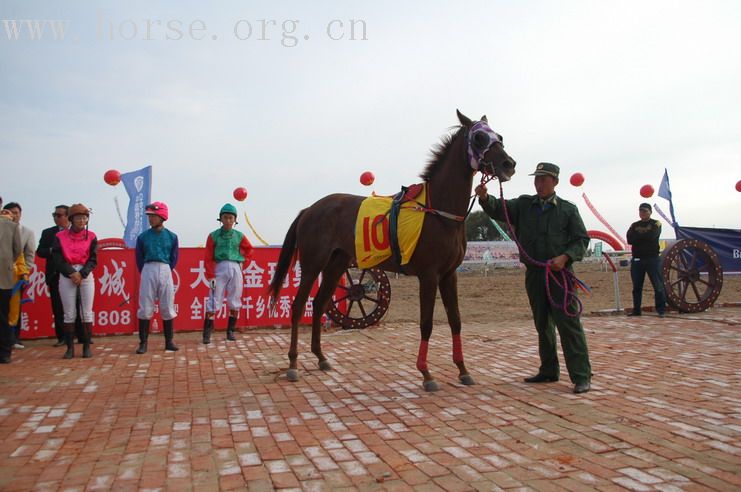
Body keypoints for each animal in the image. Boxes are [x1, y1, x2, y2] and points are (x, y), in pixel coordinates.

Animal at [268, 109, 516, 390]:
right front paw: (426, 374)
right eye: (479, 138)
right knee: (299, 306)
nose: (508, 164)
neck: (438, 212)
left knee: (319, 304)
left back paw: (321, 357)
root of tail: (309, 209)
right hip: (312, 264)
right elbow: (426, 323)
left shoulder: (449, 274)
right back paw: (293, 364)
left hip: (337, 264)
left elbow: (456, 321)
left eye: (499, 137)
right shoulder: (429, 276)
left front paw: (463, 370)